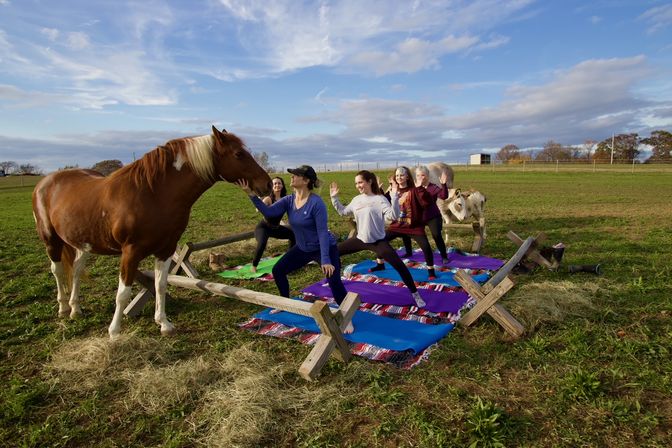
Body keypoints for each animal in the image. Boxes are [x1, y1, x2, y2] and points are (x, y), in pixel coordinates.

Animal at [32, 126, 272, 339]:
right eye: (239, 154)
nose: (268, 184)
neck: (152, 193)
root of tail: (46, 182)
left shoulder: (166, 249)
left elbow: (160, 285)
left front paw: (163, 324)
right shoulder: (130, 253)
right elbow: (123, 294)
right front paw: (114, 332)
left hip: (82, 243)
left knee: (77, 270)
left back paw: (75, 309)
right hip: (51, 240)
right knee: (57, 270)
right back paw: (63, 308)